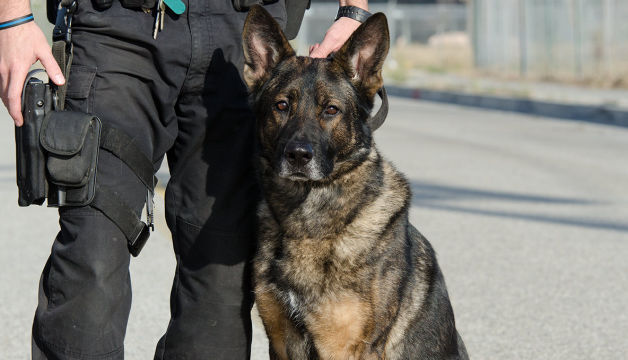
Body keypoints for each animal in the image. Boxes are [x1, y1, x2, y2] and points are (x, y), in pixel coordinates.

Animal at [243, 5, 468, 360]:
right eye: (281, 106)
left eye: (331, 110)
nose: (298, 155)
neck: (308, 224)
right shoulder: (280, 341)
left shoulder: (344, 347)